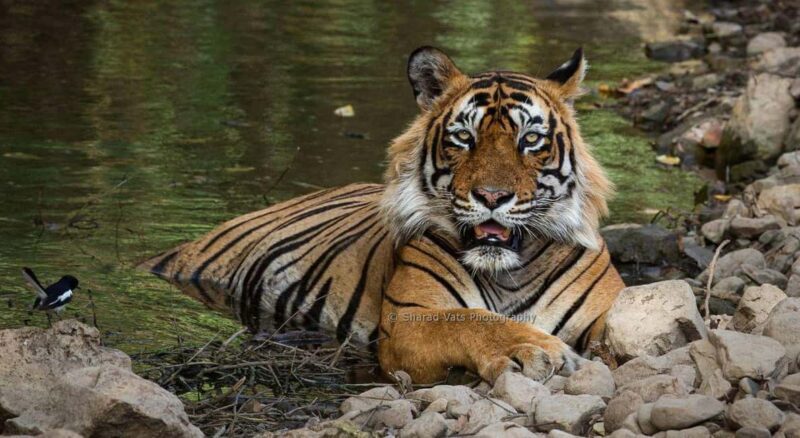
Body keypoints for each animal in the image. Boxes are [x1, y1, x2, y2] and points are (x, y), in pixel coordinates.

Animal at [141, 46, 625, 384]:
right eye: (464, 137)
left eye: (530, 140)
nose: (492, 196)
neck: (509, 272)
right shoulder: (408, 320)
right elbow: (471, 321)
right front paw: (533, 349)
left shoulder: (605, 312)